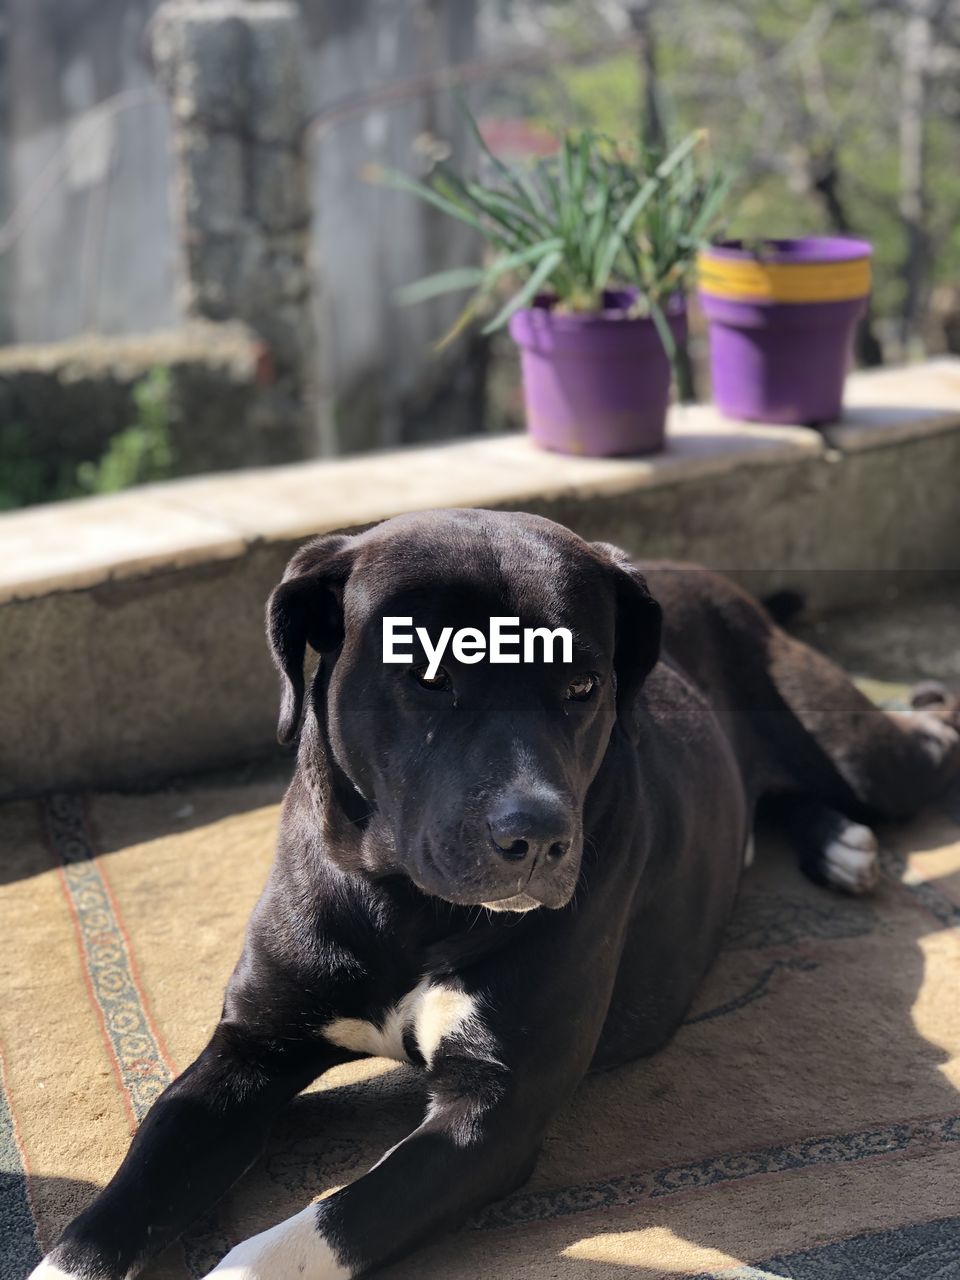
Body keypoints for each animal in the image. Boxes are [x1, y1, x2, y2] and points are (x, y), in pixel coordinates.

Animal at [32, 509, 960, 1280]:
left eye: (584, 689)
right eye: (429, 677)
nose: (539, 838)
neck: (401, 904)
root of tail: (710, 576)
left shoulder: (490, 1115)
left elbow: (314, 1228)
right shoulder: (249, 1051)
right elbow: (124, 1193)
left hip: (865, 756)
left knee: (927, 733)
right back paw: (835, 842)